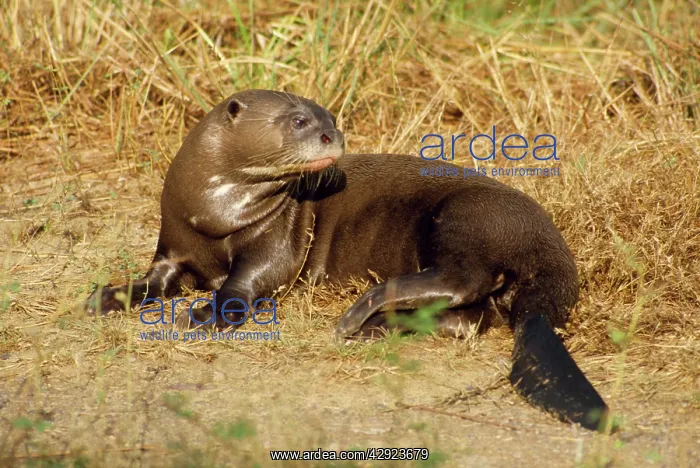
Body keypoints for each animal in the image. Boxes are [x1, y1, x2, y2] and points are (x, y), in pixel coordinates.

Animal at [86, 89, 610, 431]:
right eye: (300, 120)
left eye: (330, 117)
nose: (332, 136)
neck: (213, 210)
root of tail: (549, 246)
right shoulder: (173, 243)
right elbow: (152, 280)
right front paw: (106, 296)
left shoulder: (275, 241)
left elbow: (250, 279)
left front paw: (205, 313)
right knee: (470, 316)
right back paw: (380, 325)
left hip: (466, 216)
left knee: (465, 279)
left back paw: (360, 312)